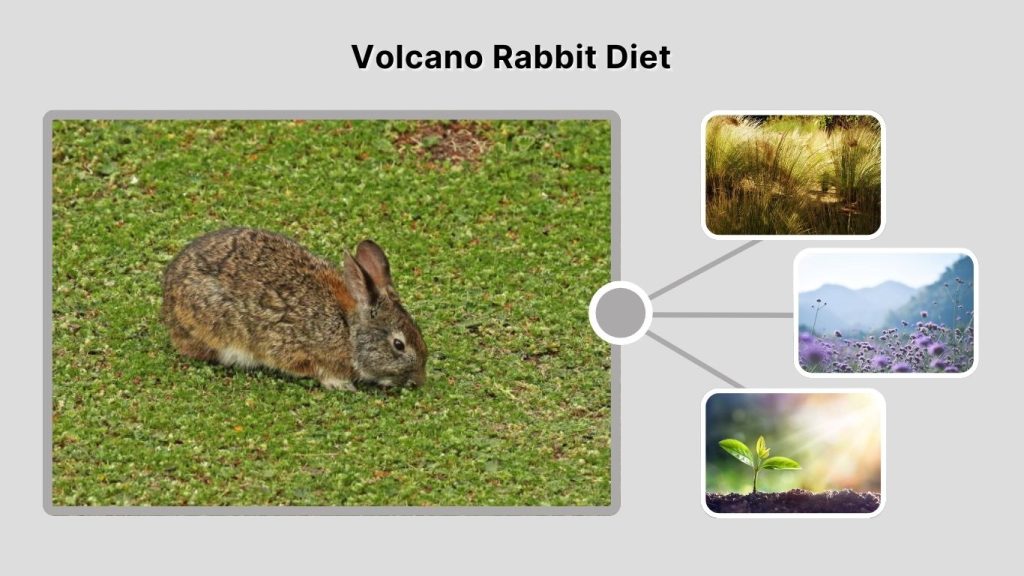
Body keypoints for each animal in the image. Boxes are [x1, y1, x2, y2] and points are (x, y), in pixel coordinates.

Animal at [161, 228, 427, 391]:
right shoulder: (298, 350)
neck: (348, 329)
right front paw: (339, 384)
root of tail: (168, 302)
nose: (419, 380)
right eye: (399, 345)